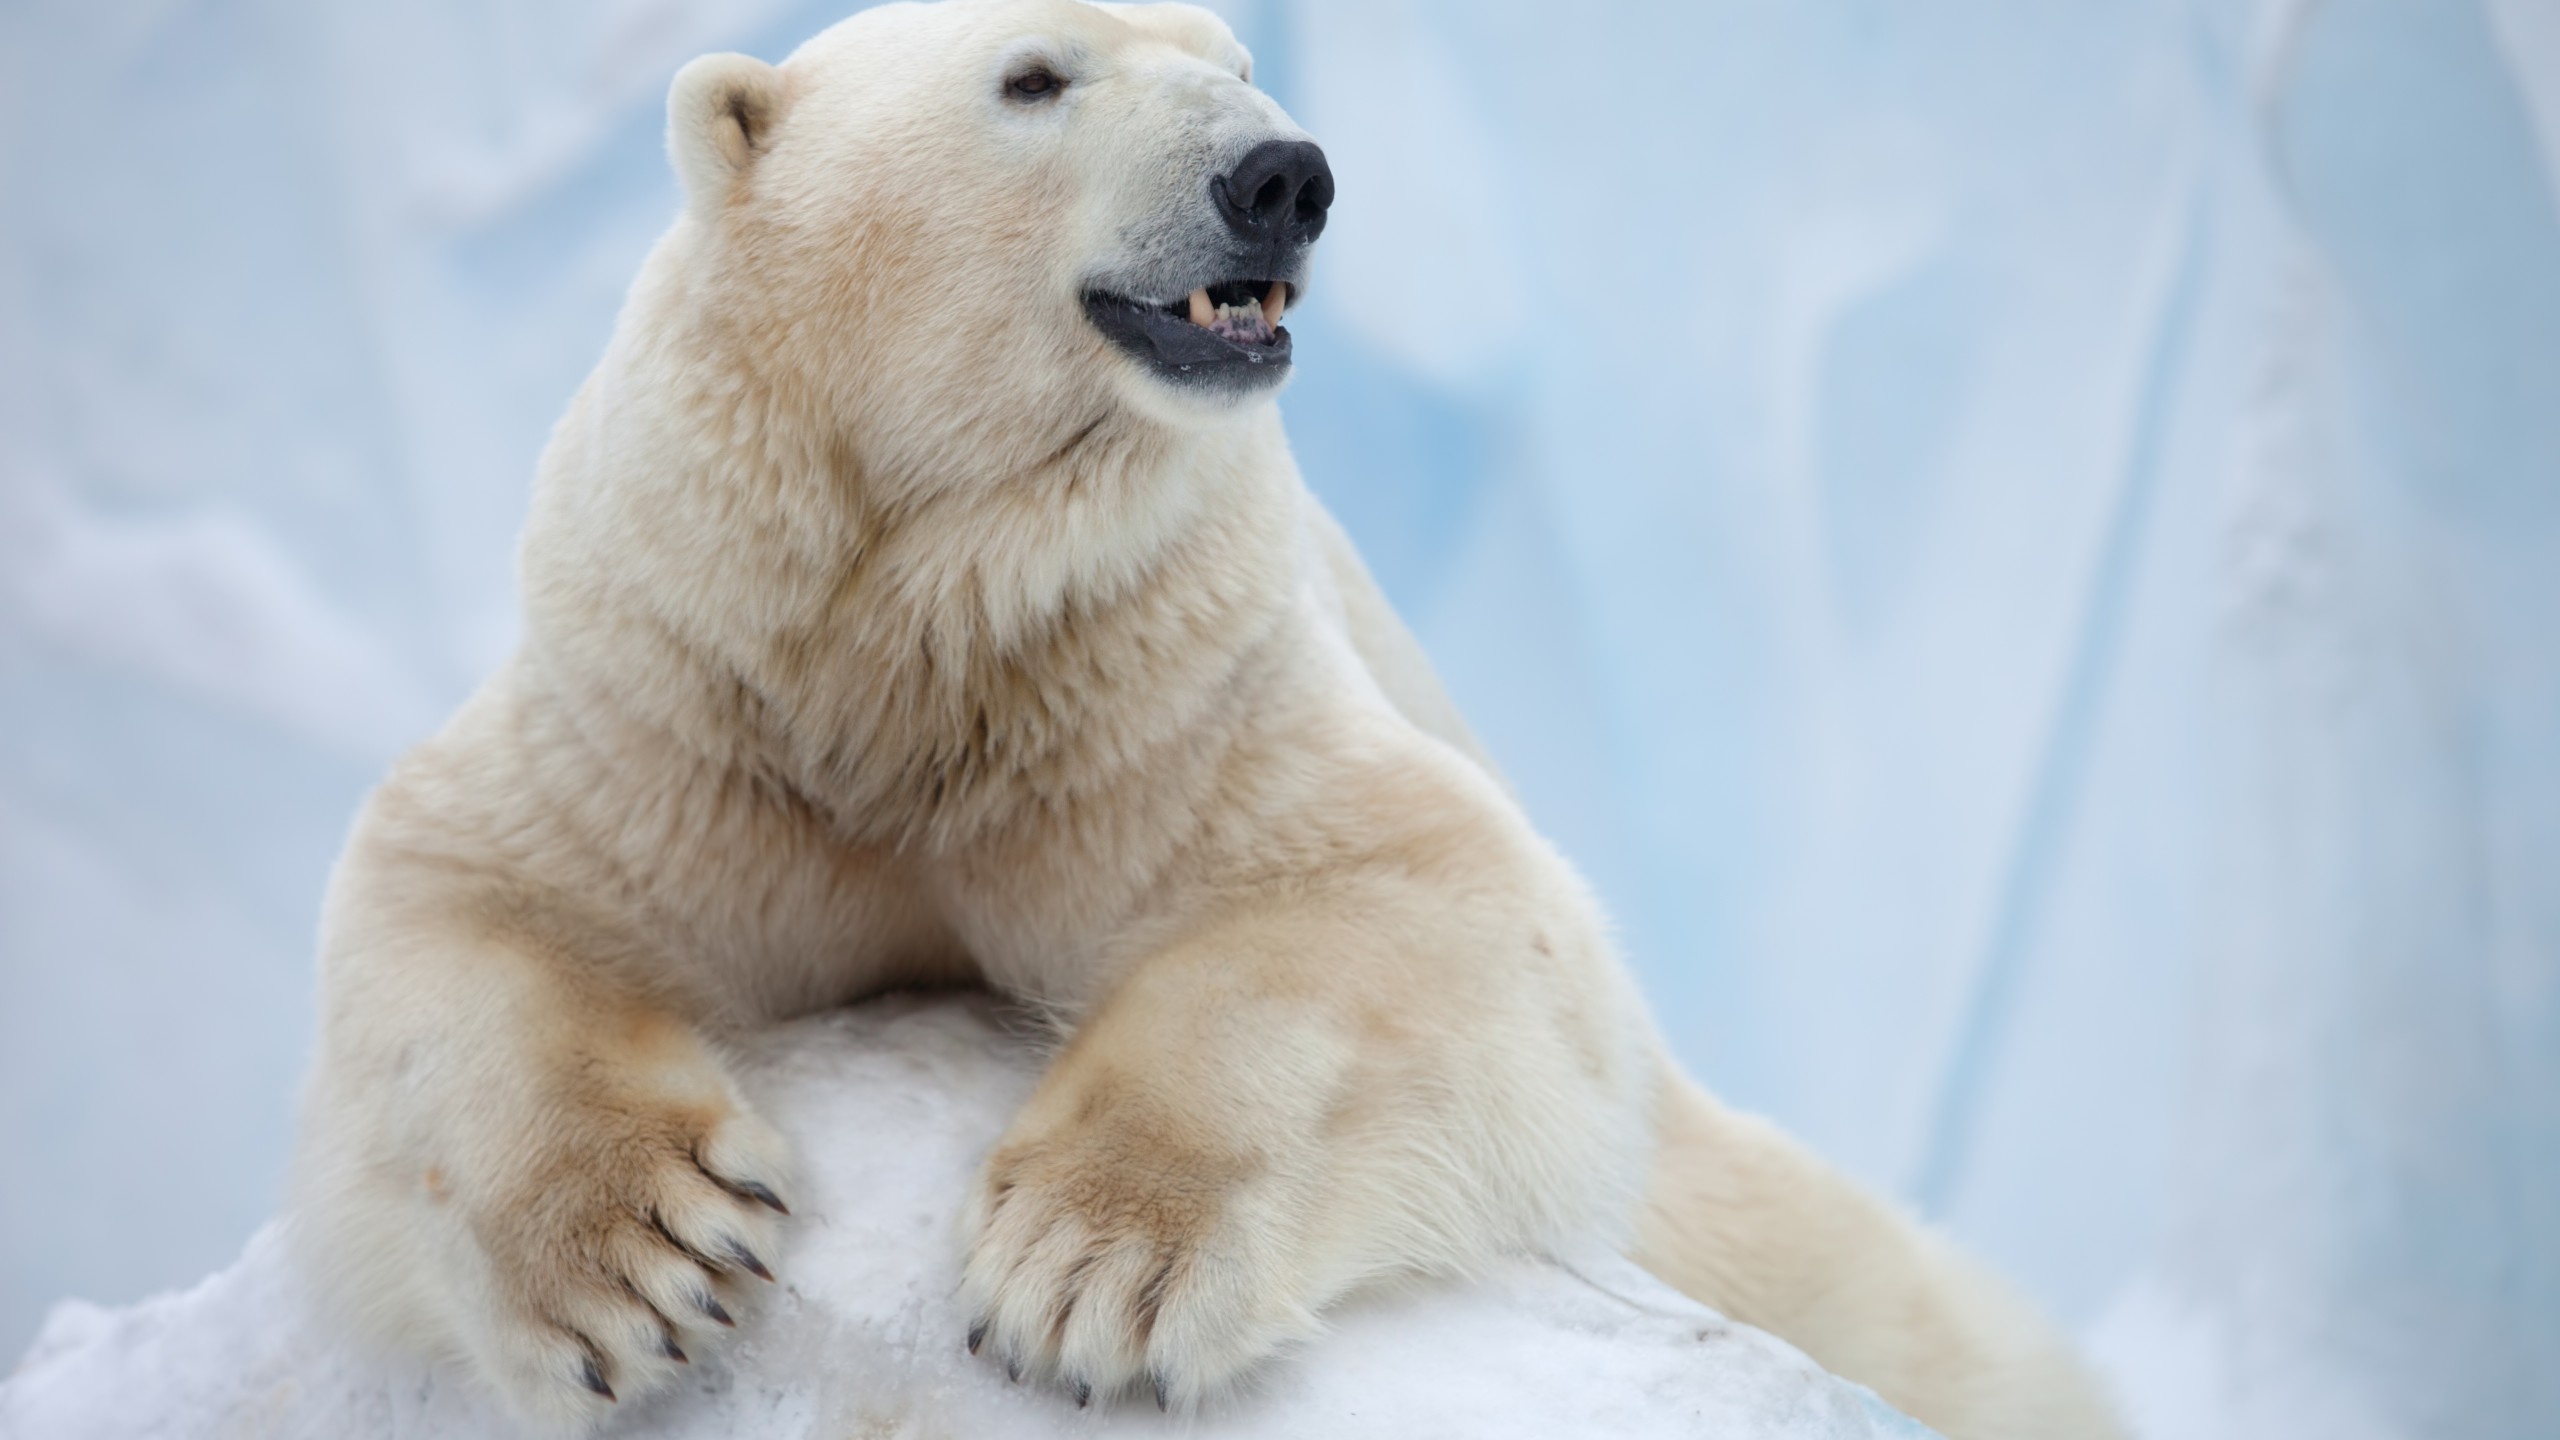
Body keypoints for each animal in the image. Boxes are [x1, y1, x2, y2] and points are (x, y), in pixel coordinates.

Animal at [285, 2, 2119, 1434]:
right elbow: (461, 893)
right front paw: (638, 1262)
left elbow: (1410, 897)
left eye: (1238, 61)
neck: (924, 619)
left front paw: (1090, 1272)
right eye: (1033, 76)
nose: (1282, 175)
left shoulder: (1164, 685)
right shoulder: (683, 688)